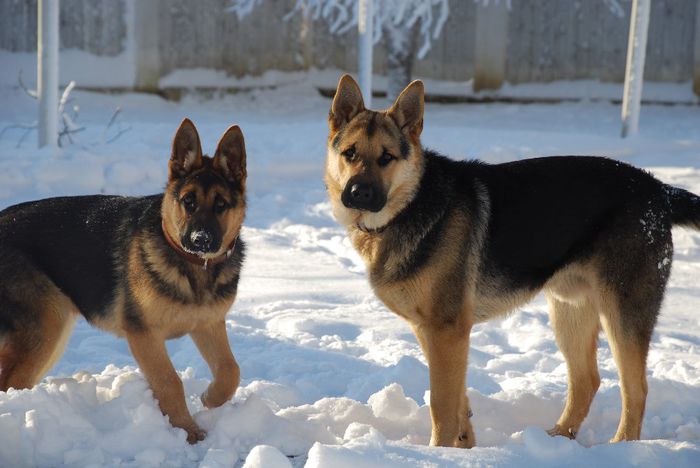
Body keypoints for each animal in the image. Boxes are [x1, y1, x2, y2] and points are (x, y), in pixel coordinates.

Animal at [0, 118, 247, 442]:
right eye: (188, 202)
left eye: (221, 205)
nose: (200, 240)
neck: (193, 266)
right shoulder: (143, 334)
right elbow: (169, 381)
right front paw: (188, 431)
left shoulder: (208, 324)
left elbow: (231, 369)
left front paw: (211, 398)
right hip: (44, 331)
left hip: (52, 332)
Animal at [326, 77, 700, 450]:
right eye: (350, 154)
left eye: (387, 157)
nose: (358, 193)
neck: (410, 204)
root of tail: (658, 190)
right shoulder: (434, 331)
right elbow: (458, 399)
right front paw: (465, 447)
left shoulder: (447, 329)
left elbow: (442, 402)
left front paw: (439, 452)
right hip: (569, 310)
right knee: (587, 380)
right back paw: (555, 440)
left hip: (622, 315)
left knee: (635, 389)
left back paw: (620, 446)